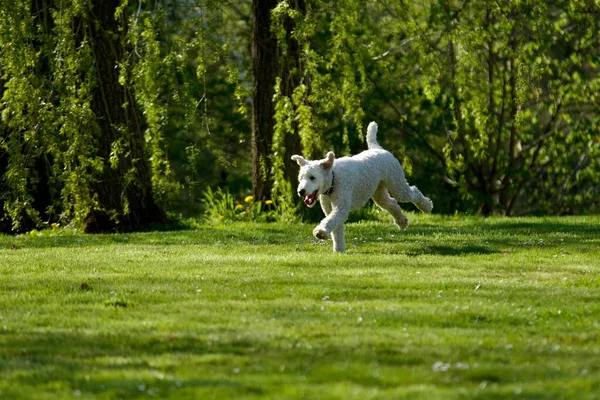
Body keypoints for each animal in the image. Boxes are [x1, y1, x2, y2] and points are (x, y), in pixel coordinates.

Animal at [290, 122, 432, 253]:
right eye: (300, 178)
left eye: (312, 177)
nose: (301, 191)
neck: (333, 180)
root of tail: (378, 148)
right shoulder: (331, 209)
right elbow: (336, 229)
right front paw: (339, 250)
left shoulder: (341, 207)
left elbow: (330, 221)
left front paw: (320, 232)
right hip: (379, 193)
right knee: (392, 203)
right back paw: (402, 222)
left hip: (397, 185)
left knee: (413, 192)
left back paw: (426, 206)